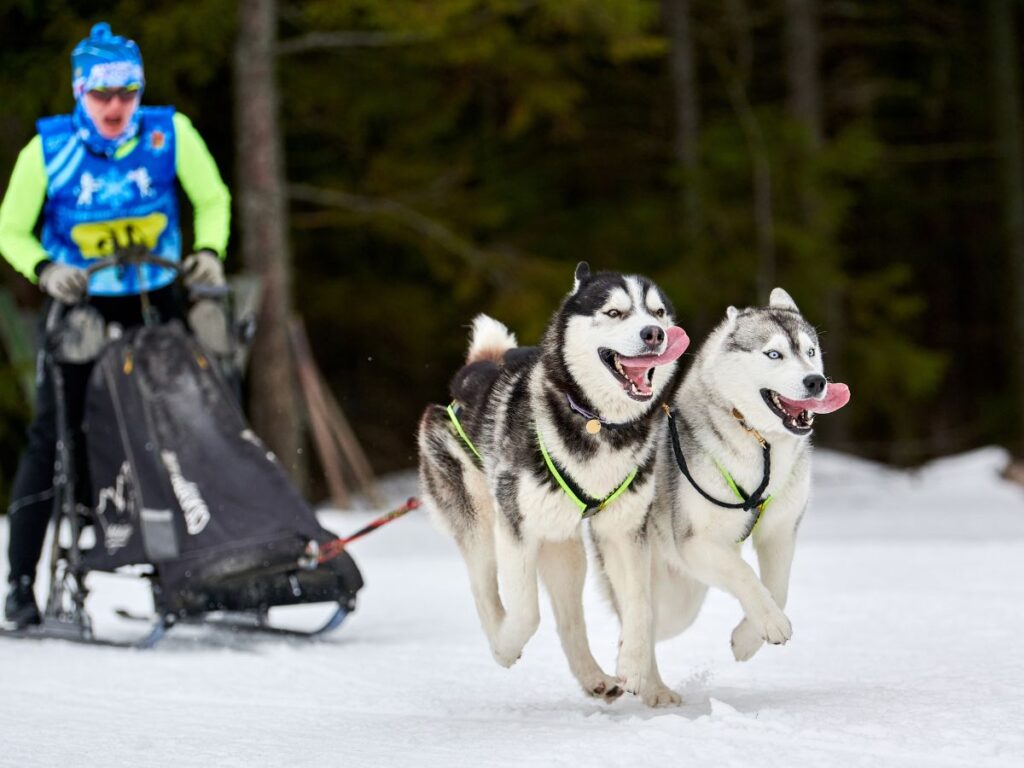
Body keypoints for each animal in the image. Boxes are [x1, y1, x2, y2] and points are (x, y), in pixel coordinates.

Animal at [415, 262, 688, 708]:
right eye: (615, 312)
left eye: (658, 313)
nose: (654, 334)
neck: (598, 422)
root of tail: (472, 372)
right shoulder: (516, 528)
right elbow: (526, 613)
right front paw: (506, 646)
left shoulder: (625, 531)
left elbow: (640, 605)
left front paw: (635, 669)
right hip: (481, 520)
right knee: (483, 586)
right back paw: (502, 640)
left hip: (566, 548)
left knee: (570, 619)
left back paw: (604, 679)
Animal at [643, 288, 851, 671]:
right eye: (774, 354)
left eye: (810, 352)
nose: (816, 382)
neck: (760, 442)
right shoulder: (696, 542)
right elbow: (744, 573)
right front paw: (769, 623)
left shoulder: (780, 530)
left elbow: (778, 588)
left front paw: (747, 638)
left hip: (684, 599)